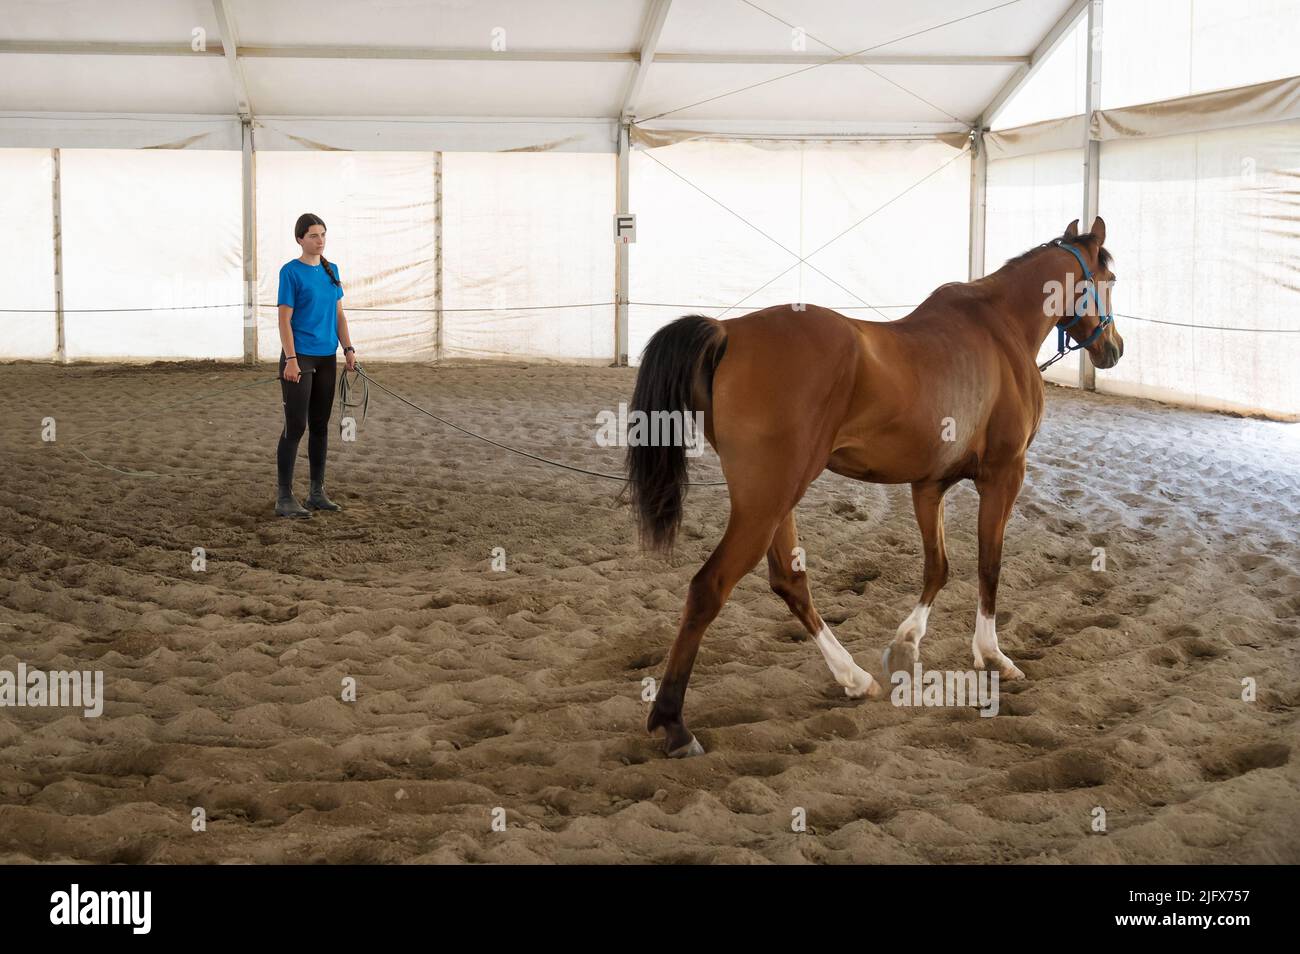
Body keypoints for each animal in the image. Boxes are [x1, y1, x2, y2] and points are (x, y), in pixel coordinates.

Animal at [626, 216, 1123, 758]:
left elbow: (938, 567)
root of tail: (728, 332)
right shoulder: (1004, 474)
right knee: (708, 588)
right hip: (764, 503)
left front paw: (906, 646)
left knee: (789, 581)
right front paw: (992, 656)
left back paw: (855, 678)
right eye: (1110, 280)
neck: (1001, 327)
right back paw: (674, 724)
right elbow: (988, 565)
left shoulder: (929, 485)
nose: (1114, 349)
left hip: (777, 501)